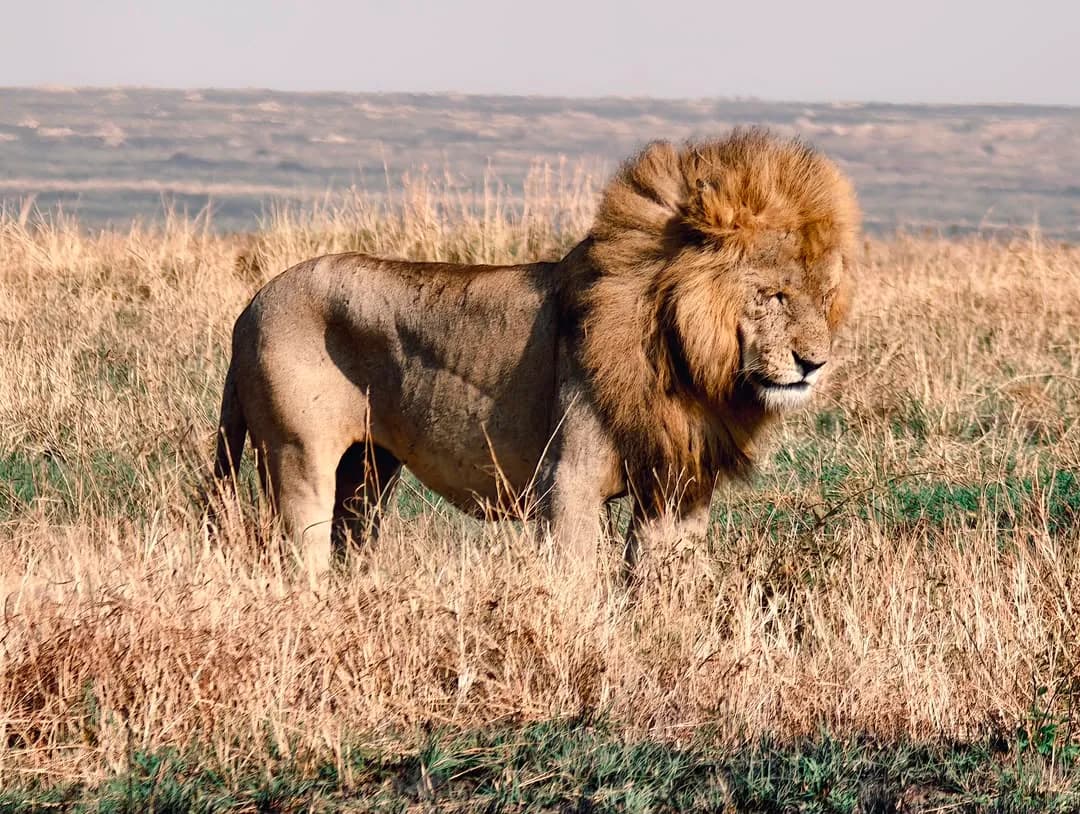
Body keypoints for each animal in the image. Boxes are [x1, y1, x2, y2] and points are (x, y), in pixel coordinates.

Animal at [213, 128, 860, 577]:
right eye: (773, 296)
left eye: (825, 297)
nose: (814, 364)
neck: (683, 357)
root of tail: (251, 306)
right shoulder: (566, 482)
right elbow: (575, 584)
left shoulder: (677, 487)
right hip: (299, 457)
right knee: (300, 558)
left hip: (369, 471)